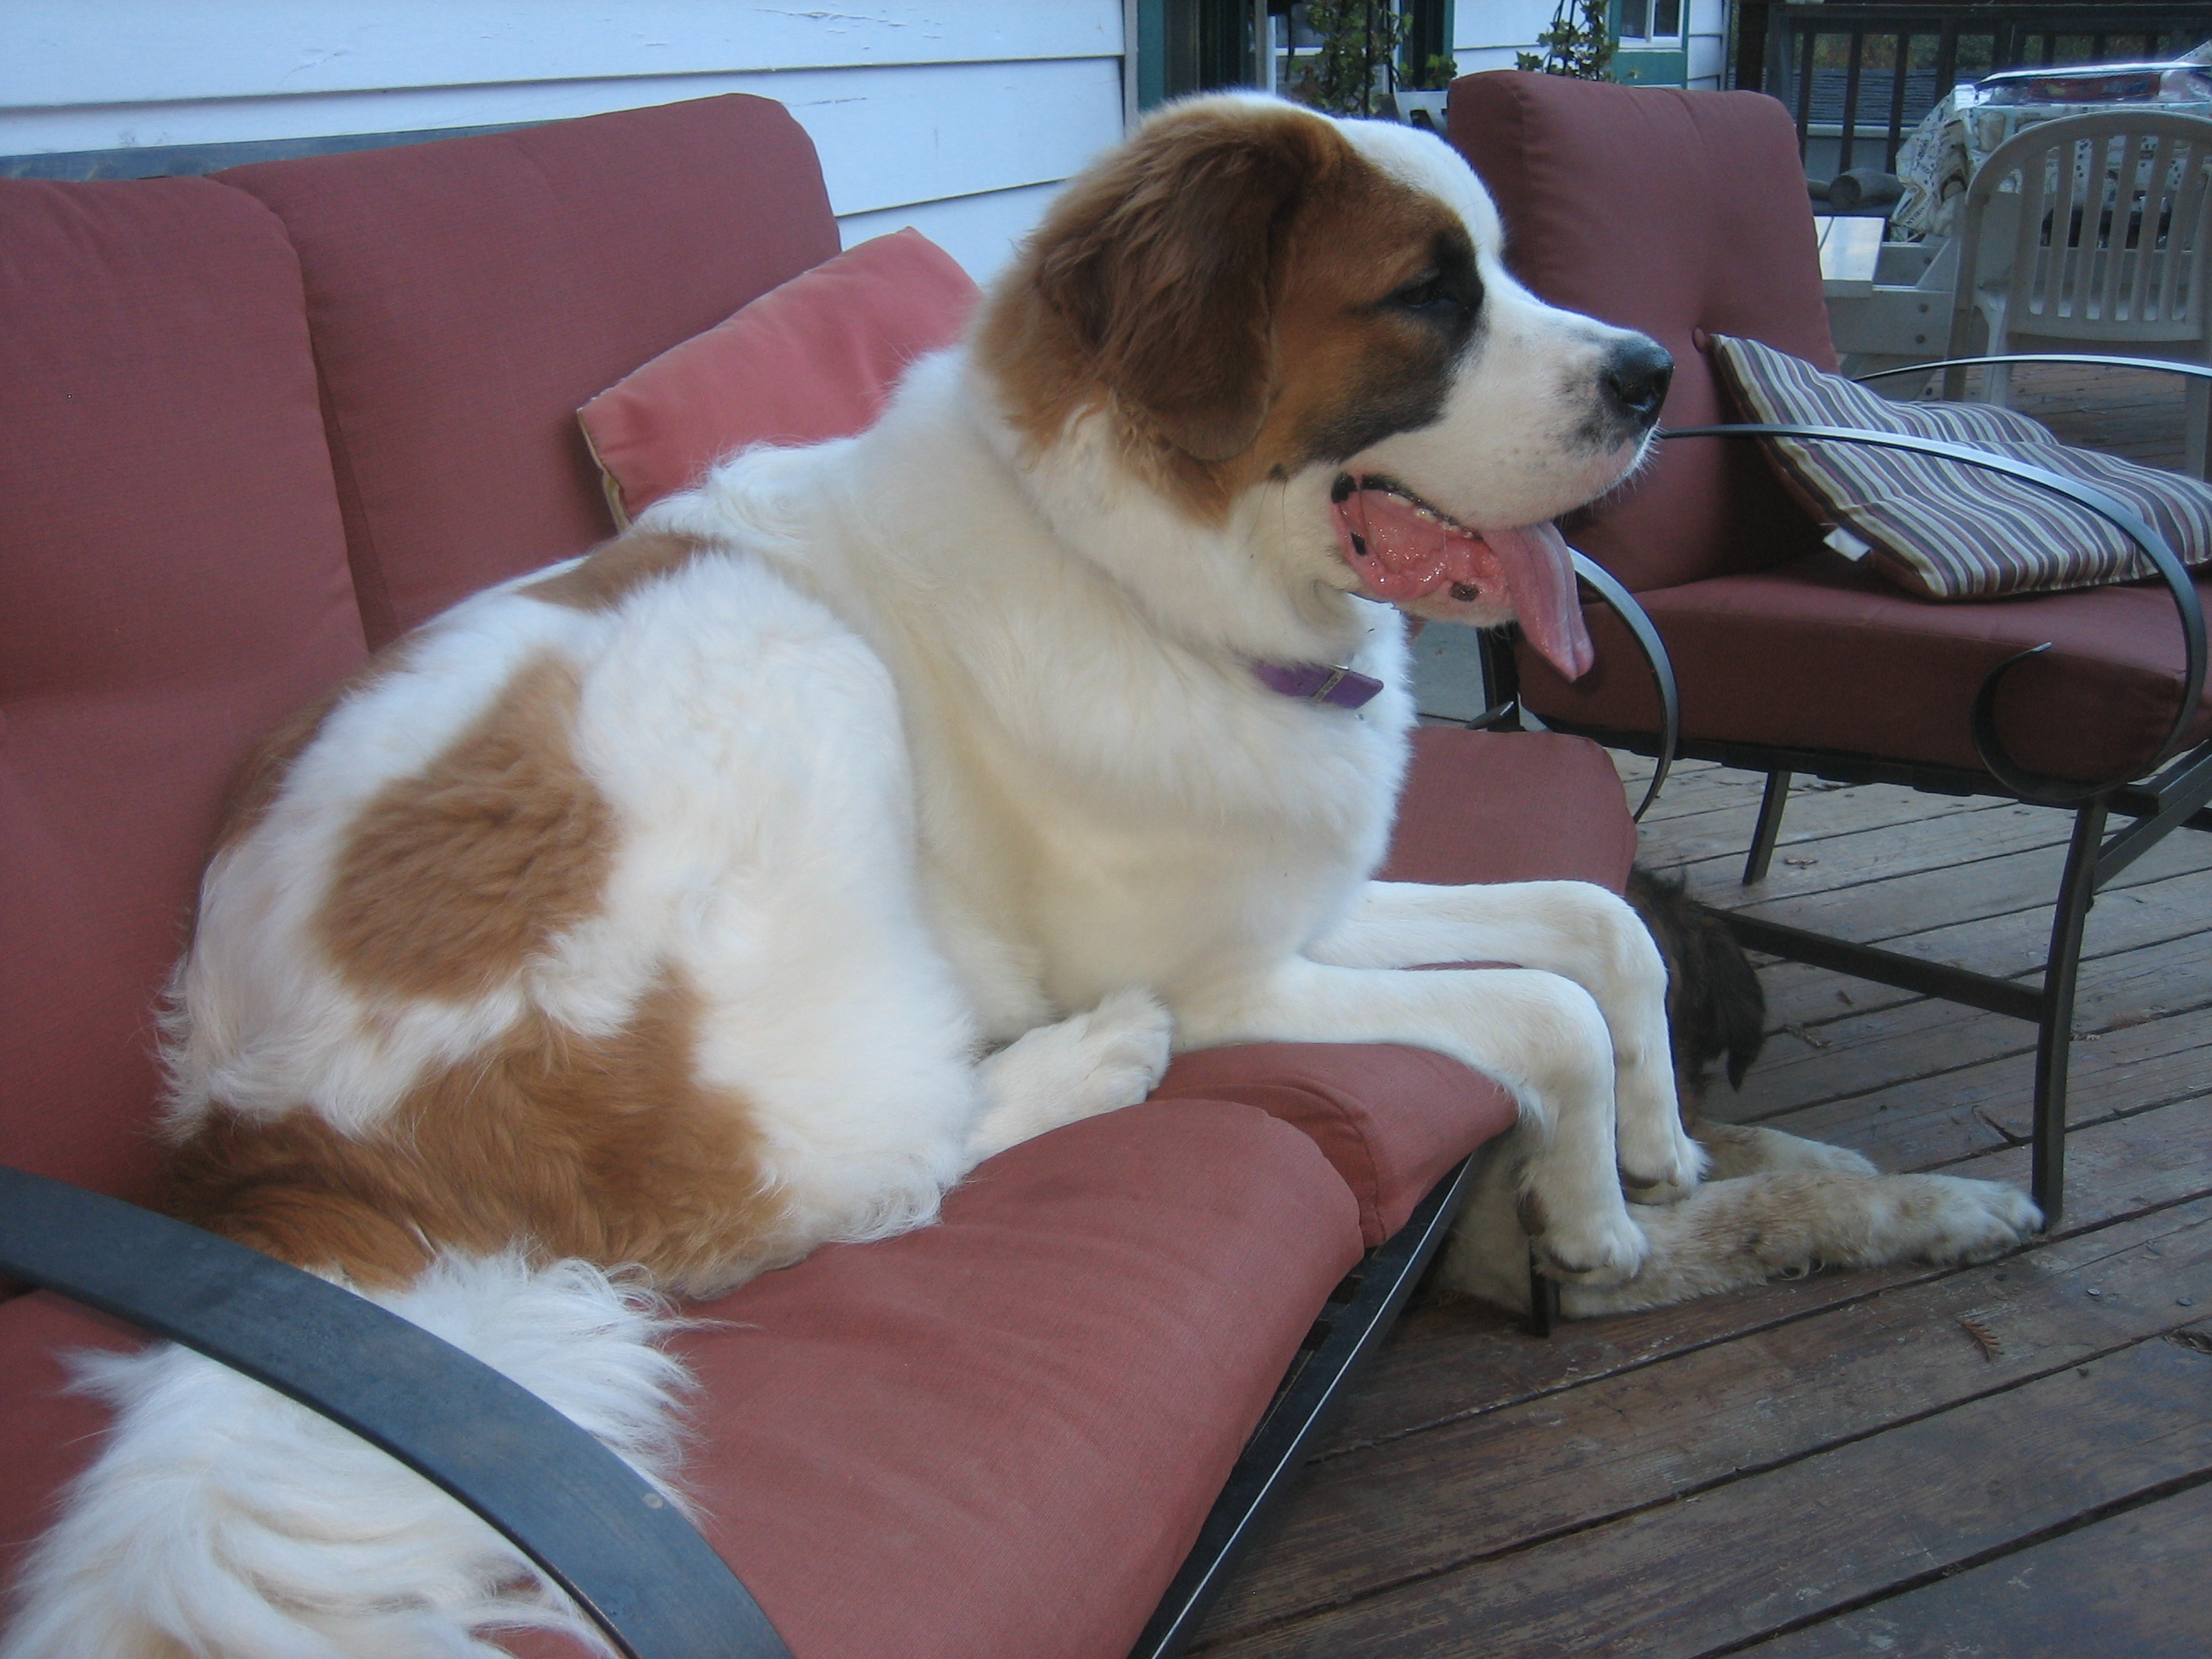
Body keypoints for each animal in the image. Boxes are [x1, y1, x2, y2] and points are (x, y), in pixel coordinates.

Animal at [8, 93, 1910, 1655]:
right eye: (1427, 295)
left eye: (1504, 265)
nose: (1651, 374)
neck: (1136, 568)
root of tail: (262, 1143)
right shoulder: (1249, 978)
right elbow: (1538, 1013)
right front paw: (1593, 1218)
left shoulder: (1313, 904)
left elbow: (1599, 930)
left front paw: (1659, 1143)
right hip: (797, 675)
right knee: (865, 1163)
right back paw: (1097, 1056)